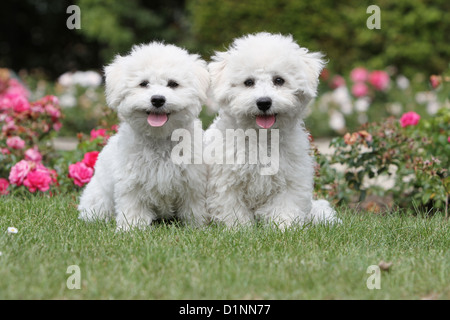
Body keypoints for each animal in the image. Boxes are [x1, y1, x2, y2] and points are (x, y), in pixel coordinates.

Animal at [78, 42, 210, 230]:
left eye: (173, 84)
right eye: (143, 84)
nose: (157, 99)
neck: (159, 138)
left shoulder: (192, 181)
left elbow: (194, 207)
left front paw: (197, 227)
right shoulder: (131, 183)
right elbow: (134, 208)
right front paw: (131, 228)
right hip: (98, 197)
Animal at [206, 31, 340, 228]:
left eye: (279, 80)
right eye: (248, 82)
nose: (263, 102)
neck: (262, 137)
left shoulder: (291, 179)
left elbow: (285, 206)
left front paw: (285, 227)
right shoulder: (226, 180)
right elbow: (232, 209)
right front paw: (239, 228)